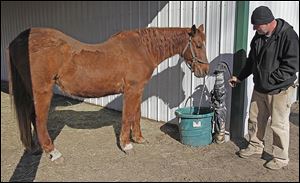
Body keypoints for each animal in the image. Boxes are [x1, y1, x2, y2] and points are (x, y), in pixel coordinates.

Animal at [7, 24, 209, 162]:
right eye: (198, 45)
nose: (205, 71)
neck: (142, 48)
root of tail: (19, 40)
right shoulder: (132, 89)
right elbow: (127, 116)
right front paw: (127, 145)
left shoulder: (138, 90)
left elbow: (136, 114)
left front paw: (139, 139)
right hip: (42, 91)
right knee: (39, 121)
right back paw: (53, 152)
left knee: (31, 117)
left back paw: (35, 148)